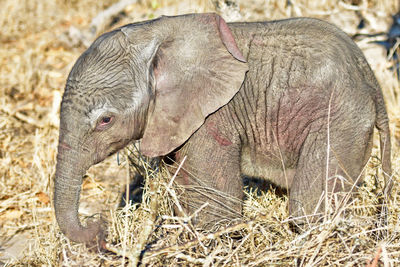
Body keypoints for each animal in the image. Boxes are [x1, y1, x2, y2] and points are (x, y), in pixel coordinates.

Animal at [53, 13, 390, 246]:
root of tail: (370, 77)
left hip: (339, 115)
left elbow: (218, 211)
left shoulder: (213, 116)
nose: (99, 227)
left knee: (307, 208)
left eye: (105, 121)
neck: (155, 35)